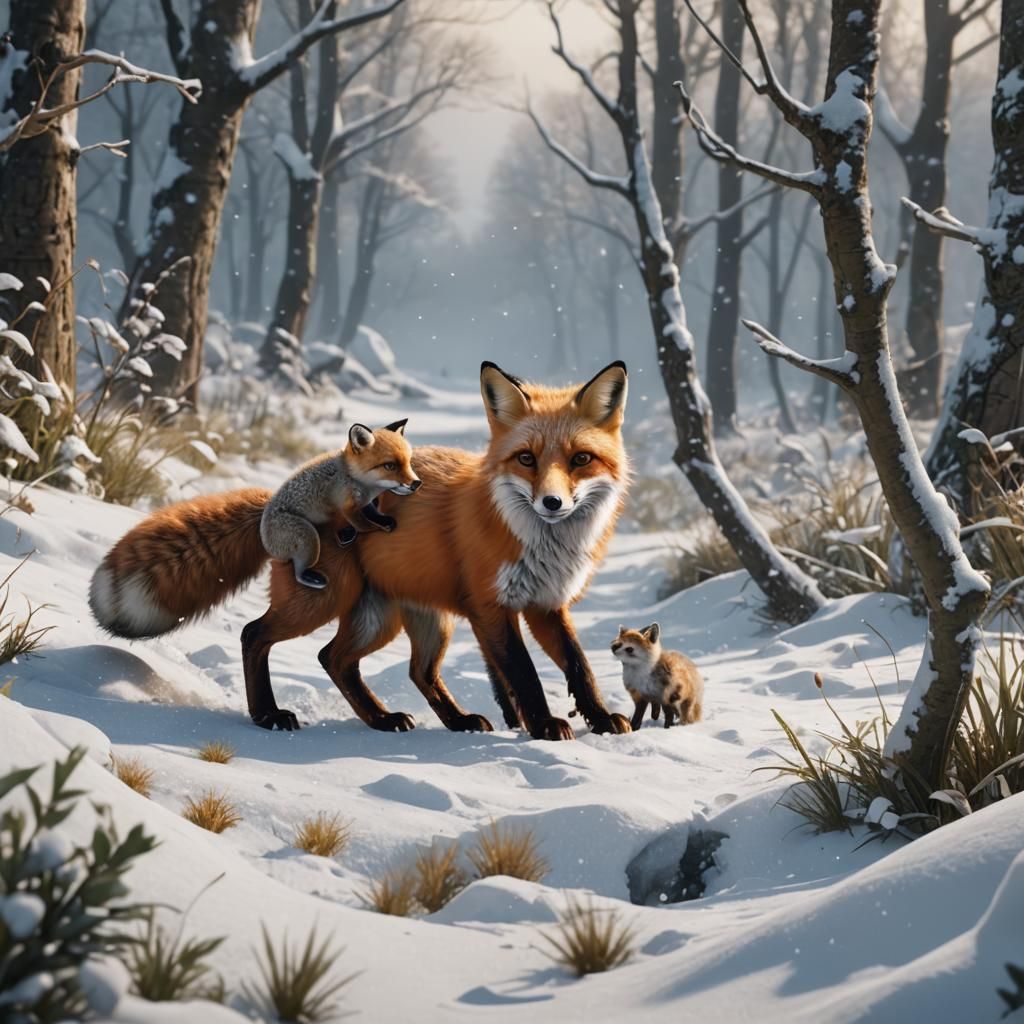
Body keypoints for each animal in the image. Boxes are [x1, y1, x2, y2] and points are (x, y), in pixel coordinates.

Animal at [260, 419, 420, 590]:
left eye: (408, 462)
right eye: (390, 466)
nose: (417, 483)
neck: (355, 478)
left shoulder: (363, 502)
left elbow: (371, 512)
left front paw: (383, 520)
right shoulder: (347, 506)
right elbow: (363, 525)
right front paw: (377, 528)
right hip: (309, 537)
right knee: (297, 571)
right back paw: (312, 578)